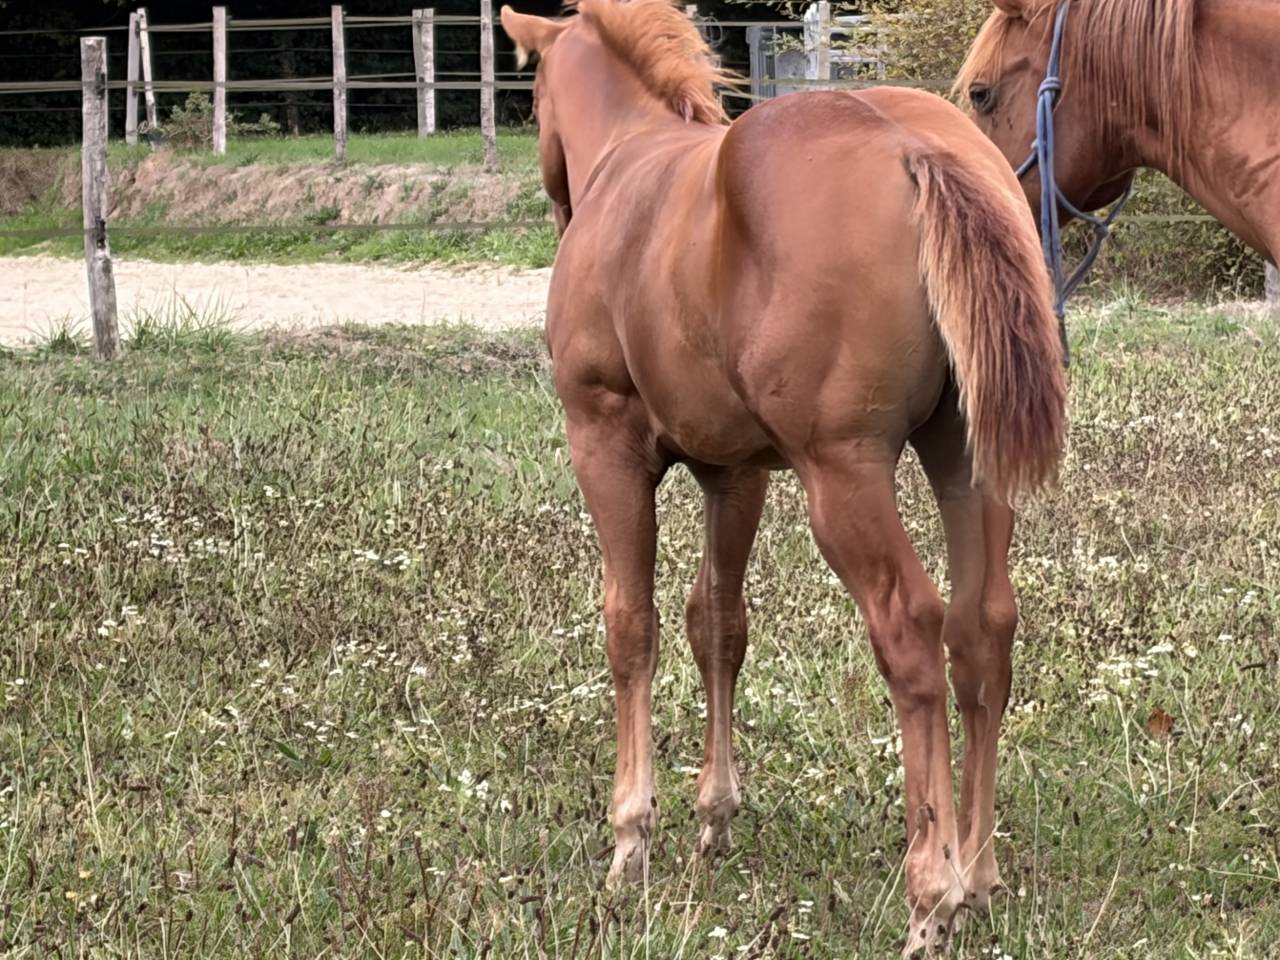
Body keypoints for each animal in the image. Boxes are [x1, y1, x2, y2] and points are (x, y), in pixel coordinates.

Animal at [501, 0, 1067, 950]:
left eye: (532, 92)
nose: (553, 204)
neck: (631, 162)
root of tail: (919, 148)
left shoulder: (603, 441)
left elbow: (631, 625)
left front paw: (631, 842)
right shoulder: (736, 473)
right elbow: (718, 625)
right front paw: (714, 817)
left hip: (843, 477)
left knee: (912, 630)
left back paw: (933, 893)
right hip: (966, 460)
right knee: (983, 628)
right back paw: (981, 872)